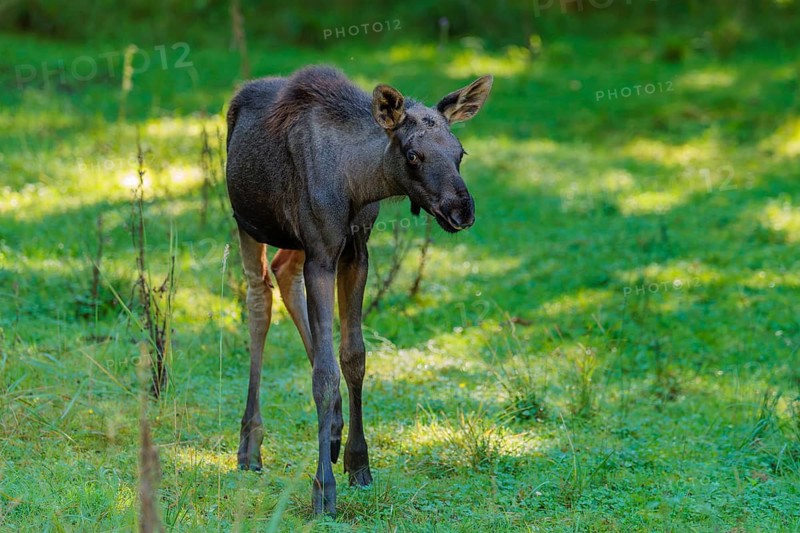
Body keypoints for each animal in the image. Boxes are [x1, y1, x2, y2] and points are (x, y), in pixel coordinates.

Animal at [225, 65, 493, 516]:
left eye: (460, 152)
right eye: (413, 155)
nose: (462, 210)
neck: (358, 185)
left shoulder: (353, 249)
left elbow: (353, 357)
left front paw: (357, 461)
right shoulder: (320, 252)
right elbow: (324, 374)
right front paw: (323, 489)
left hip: (296, 242)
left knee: (283, 273)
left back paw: (333, 429)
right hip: (248, 223)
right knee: (259, 297)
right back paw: (250, 445)